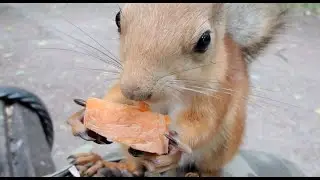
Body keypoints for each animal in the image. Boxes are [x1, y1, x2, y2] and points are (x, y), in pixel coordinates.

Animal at [67, 2, 288, 177]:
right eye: (118, 18)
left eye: (205, 40)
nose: (135, 91)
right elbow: (116, 97)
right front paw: (83, 116)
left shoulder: (217, 93)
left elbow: (202, 124)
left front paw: (174, 143)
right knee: (134, 167)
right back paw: (104, 165)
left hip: (224, 145)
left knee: (208, 166)